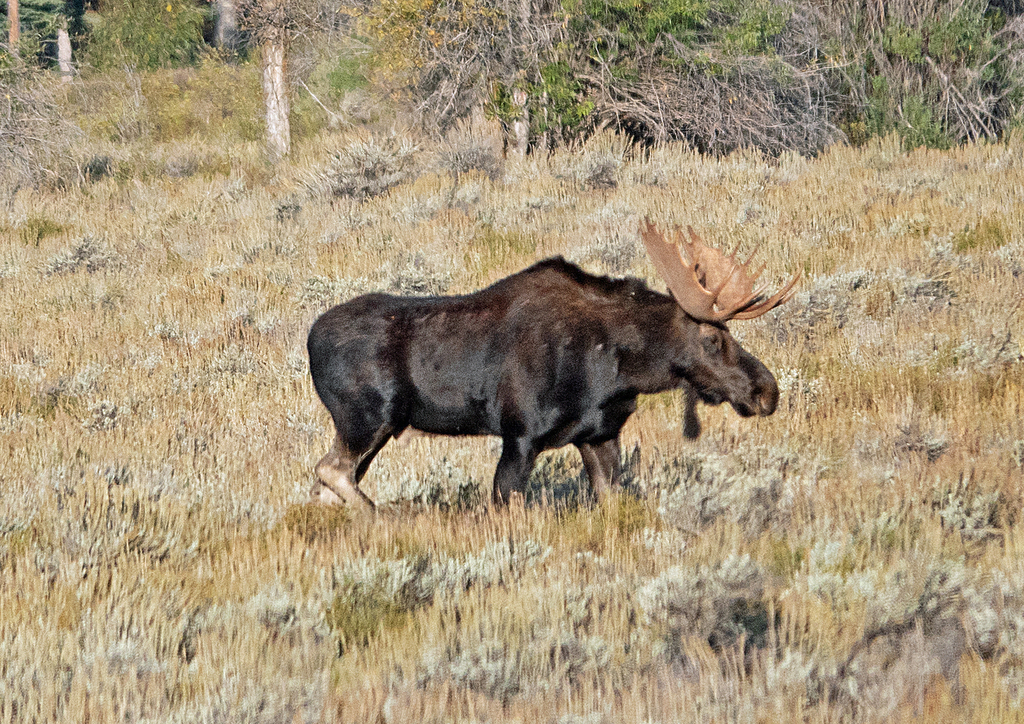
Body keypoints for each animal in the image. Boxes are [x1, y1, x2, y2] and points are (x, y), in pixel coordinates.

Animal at [306, 219, 799, 511]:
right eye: (713, 338)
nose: (766, 391)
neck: (618, 370)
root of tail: (309, 341)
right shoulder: (520, 435)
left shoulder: (599, 434)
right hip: (369, 418)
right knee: (329, 472)